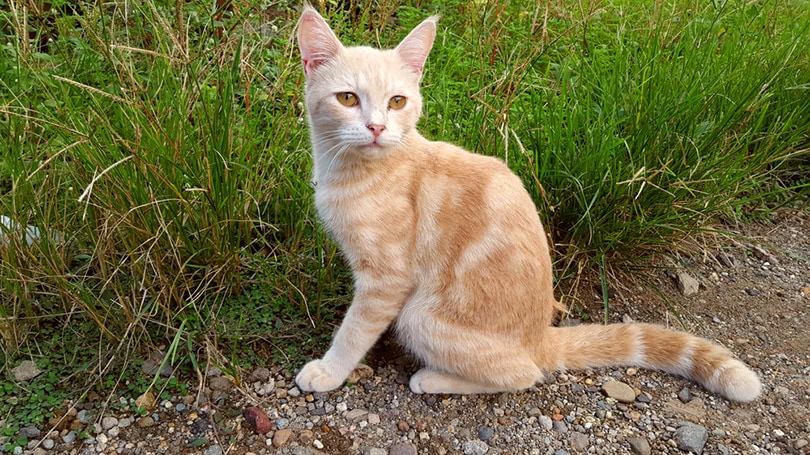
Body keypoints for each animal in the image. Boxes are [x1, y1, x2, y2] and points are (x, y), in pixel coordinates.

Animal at [294, 4, 760, 402]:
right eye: (348, 98)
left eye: (397, 101)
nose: (376, 127)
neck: (355, 170)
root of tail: (540, 335)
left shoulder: (386, 280)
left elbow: (354, 330)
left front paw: (329, 371)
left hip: (418, 316)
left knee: (524, 373)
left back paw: (435, 377)